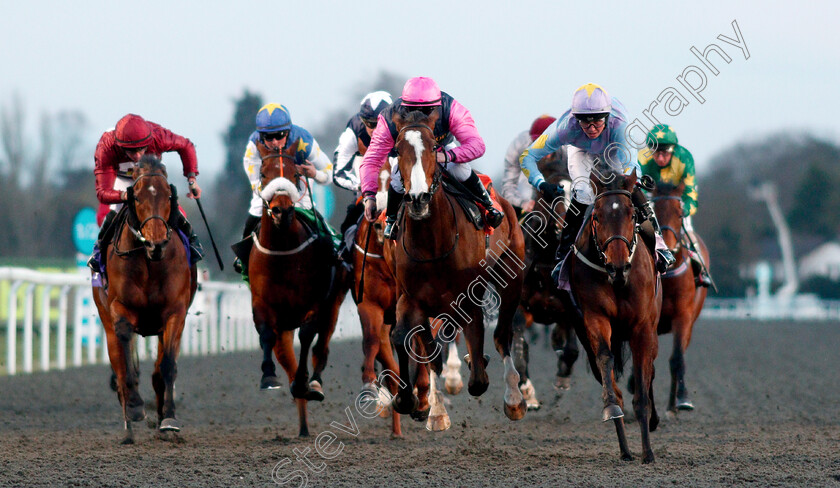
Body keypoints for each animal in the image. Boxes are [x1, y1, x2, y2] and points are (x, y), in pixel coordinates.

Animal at [93, 154, 197, 444]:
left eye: (168, 196)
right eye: (136, 197)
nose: (156, 243)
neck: (150, 262)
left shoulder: (175, 314)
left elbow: (167, 367)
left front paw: (169, 419)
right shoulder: (120, 310)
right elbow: (126, 362)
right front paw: (136, 407)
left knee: (159, 370)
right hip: (105, 320)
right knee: (119, 366)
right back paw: (128, 425)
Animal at [248, 139, 346, 436]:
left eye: (295, 175)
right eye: (263, 174)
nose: (282, 210)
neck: (282, 253)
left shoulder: (313, 303)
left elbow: (307, 336)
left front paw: (303, 383)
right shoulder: (262, 303)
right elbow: (266, 334)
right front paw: (268, 376)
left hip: (334, 304)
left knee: (321, 346)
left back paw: (312, 384)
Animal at [386, 107, 524, 424]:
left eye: (433, 148)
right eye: (397, 149)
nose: (418, 199)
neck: (432, 243)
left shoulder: (468, 297)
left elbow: (478, 379)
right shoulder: (412, 298)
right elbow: (404, 337)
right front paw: (411, 401)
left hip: (512, 275)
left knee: (502, 335)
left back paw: (514, 398)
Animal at [564, 170, 664, 464]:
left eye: (632, 214)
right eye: (596, 216)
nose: (617, 267)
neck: (619, 282)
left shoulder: (642, 327)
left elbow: (642, 386)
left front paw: (648, 452)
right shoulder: (595, 319)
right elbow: (606, 360)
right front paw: (611, 407)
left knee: (651, 370)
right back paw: (625, 449)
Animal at [648, 181, 708, 414]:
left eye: (680, 213)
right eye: (654, 210)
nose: (666, 245)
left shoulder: (683, 316)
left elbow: (677, 358)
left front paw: (682, 399)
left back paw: (672, 405)